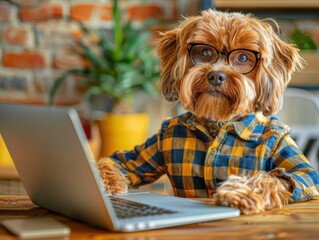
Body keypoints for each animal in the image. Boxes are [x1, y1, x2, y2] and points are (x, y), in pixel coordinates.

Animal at [98, 9, 319, 215]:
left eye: (243, 57)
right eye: (205, 52)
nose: (216, 76)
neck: (219, 122)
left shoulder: (286, 148)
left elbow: (291, 176)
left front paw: (241, 193)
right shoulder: (159, 138)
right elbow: (119, 160)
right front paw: (103, 182)